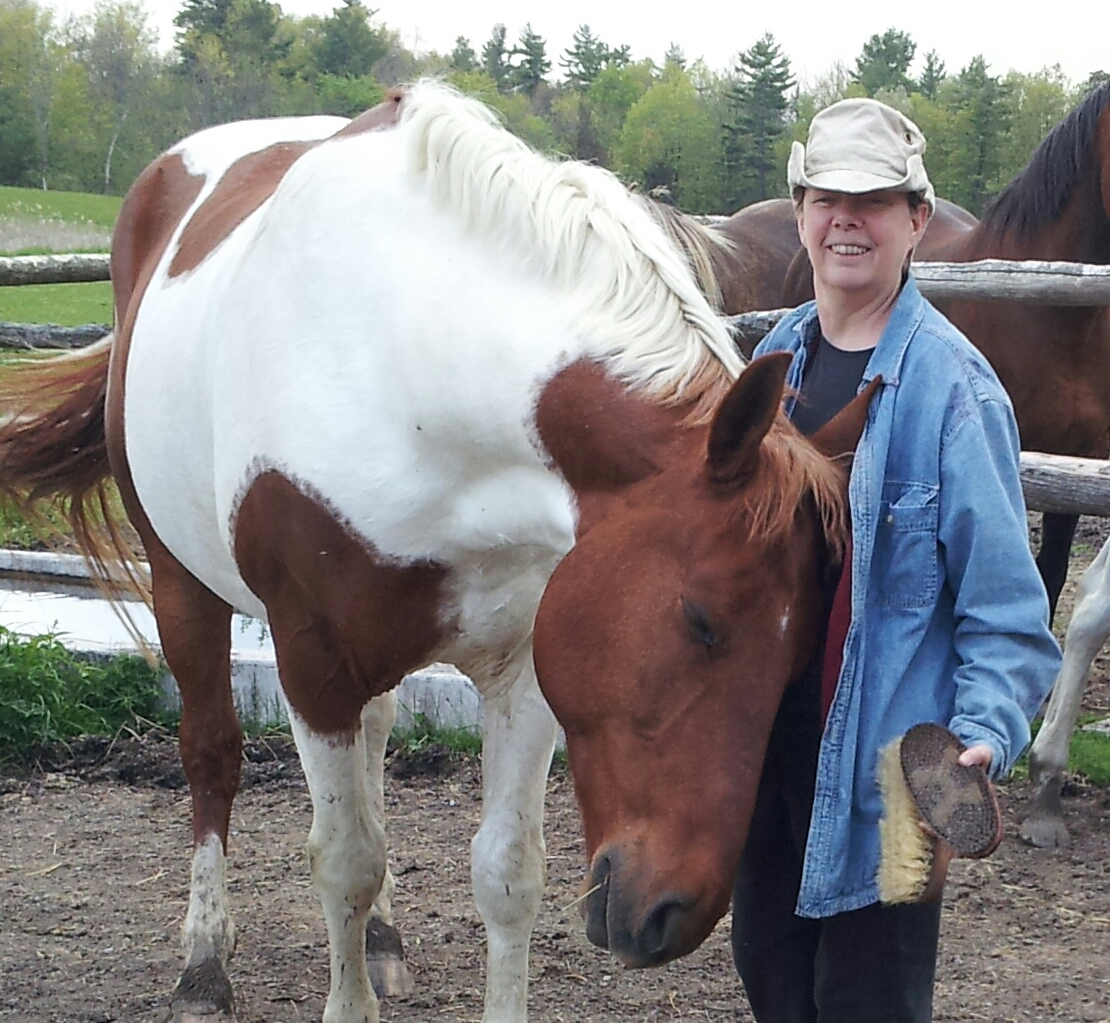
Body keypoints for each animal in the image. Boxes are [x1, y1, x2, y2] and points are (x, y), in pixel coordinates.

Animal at [0, 81, 856, 1023]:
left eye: (802, 654)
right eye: (701, 620)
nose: (669, 914)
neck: (412, 368)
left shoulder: (527, 669)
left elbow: (506, 871)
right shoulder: (312, 665)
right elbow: (344, 858)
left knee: (374, 741)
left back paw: (380, 937)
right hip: (179, 580)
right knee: (212, 753)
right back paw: (204, 958)